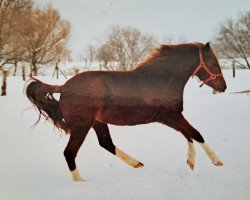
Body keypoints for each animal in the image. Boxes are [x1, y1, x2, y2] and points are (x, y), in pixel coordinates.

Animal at [25, 42, 227, 181]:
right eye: (213, 63)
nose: (223, 87)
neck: (161, 80)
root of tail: (64, 87)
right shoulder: (171, 116)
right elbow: (195, 133)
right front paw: (217, 161)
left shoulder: (170, 118)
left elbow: (188, 135)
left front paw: (190, 162)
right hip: (82, 126)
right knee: (69, 153)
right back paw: (81, 183)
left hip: (97, 122)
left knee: (106, 144)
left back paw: (138, 164)